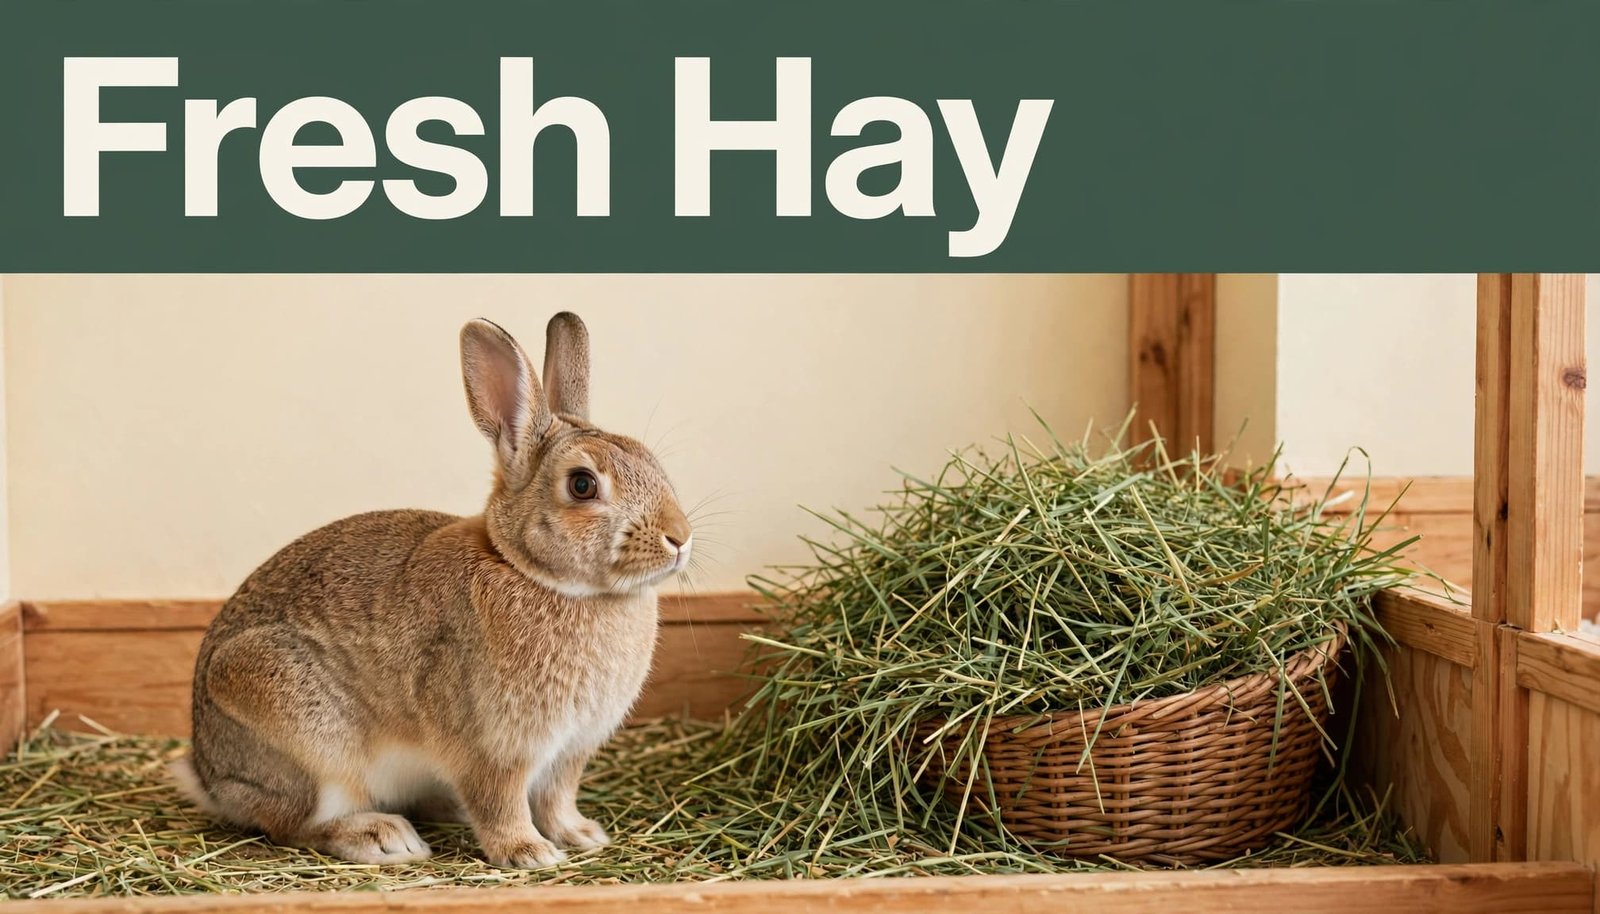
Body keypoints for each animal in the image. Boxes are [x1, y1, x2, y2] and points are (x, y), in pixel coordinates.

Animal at [169, 313, 692, 868]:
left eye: (650, 460)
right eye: (582, 485)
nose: (680, 537)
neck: (531, 571)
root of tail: (211, 776)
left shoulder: (569, 751)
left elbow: (557, 797)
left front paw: (580, 835)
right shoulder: (493, 749)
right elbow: (501, 802)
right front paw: (529, 853)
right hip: (302, 737)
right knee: (295, 825)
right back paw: (383, 837)